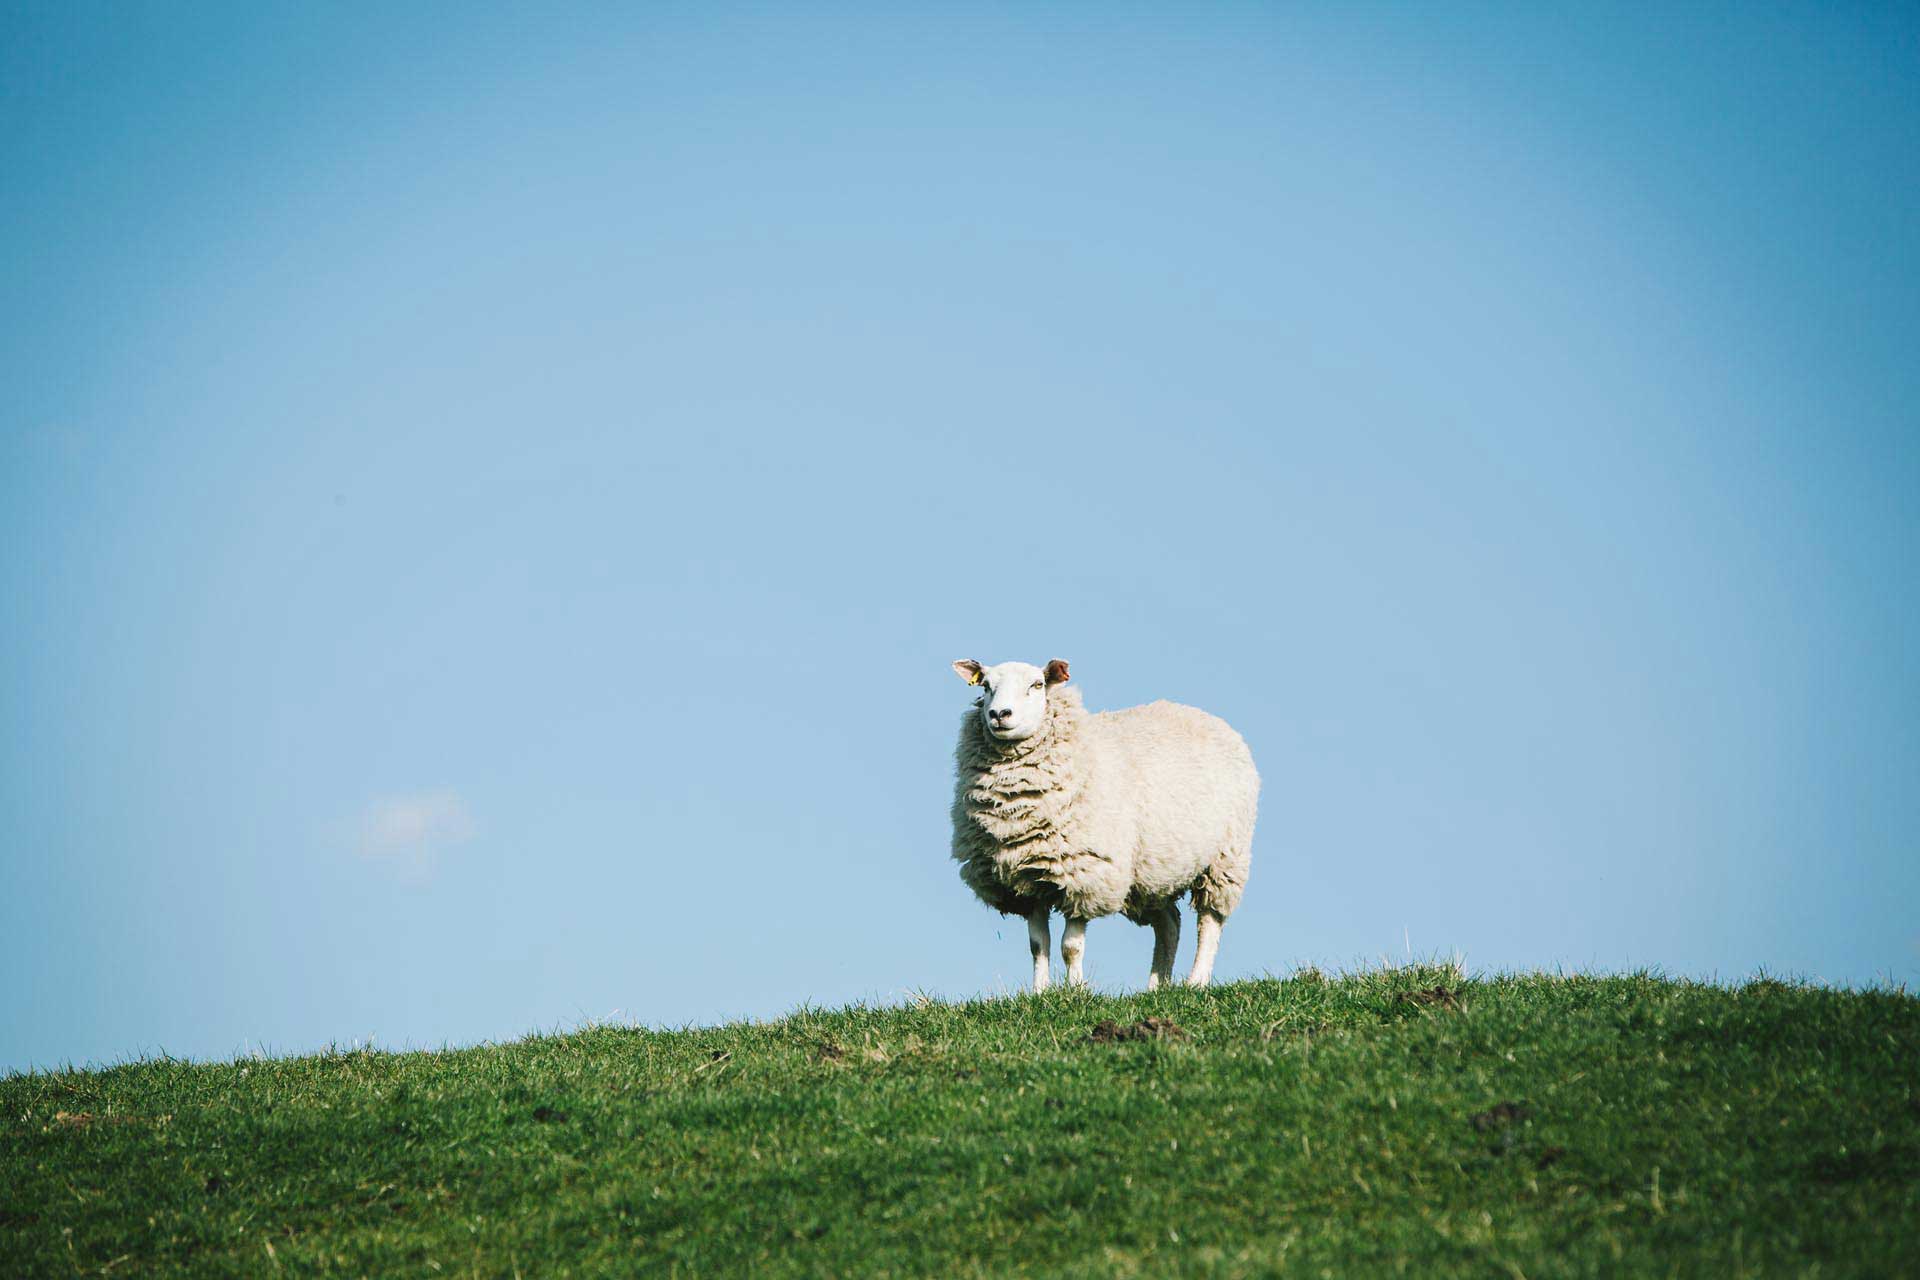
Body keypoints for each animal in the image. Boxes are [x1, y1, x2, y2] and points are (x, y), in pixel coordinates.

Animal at [948, 656, 1259, 997]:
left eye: (1037, 684)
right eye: (985, 686)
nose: (999, 715)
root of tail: (1204, 716)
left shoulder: (1082, 875)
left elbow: (1070, 946)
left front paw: (1075, 991)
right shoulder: (1027, 881)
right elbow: (1038, 945)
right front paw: (1040, 993)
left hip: (1225, 860)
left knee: (1209, 921)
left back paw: (1197, 981)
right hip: (1151, 874)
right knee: (1169, 924)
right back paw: (1157, 986)